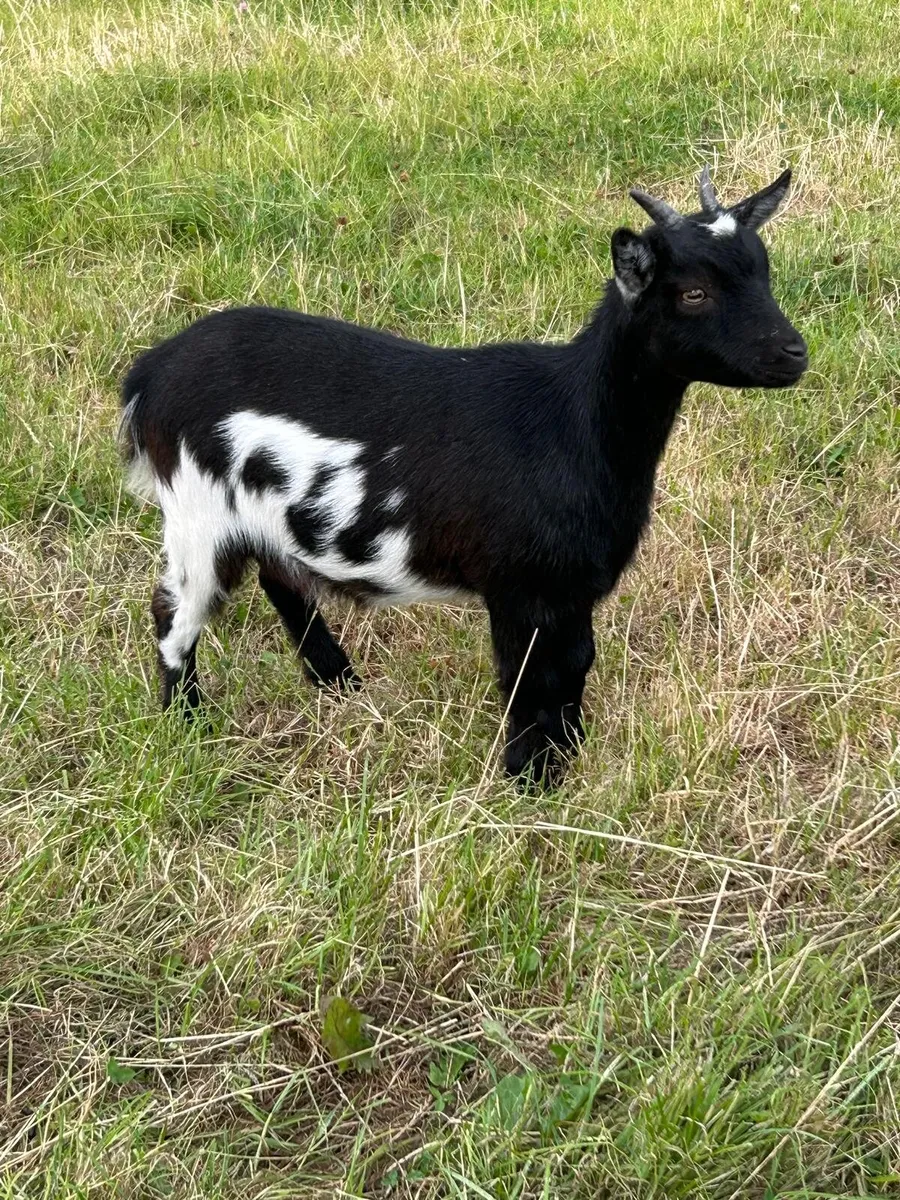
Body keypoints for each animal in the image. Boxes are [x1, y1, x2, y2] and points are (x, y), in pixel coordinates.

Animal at [120, 167, 807, 785]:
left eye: (764, 270)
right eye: (693, 293)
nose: (793, 353)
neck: (571, 419)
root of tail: (152, 372)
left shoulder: (569, 590)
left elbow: (574, 664)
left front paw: (568, 756)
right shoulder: (520, 586)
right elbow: (528, 676)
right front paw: (530, 779)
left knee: (280, 578)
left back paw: (339, 683)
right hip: (198, 511)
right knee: (175, 610)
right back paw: (188, 722)